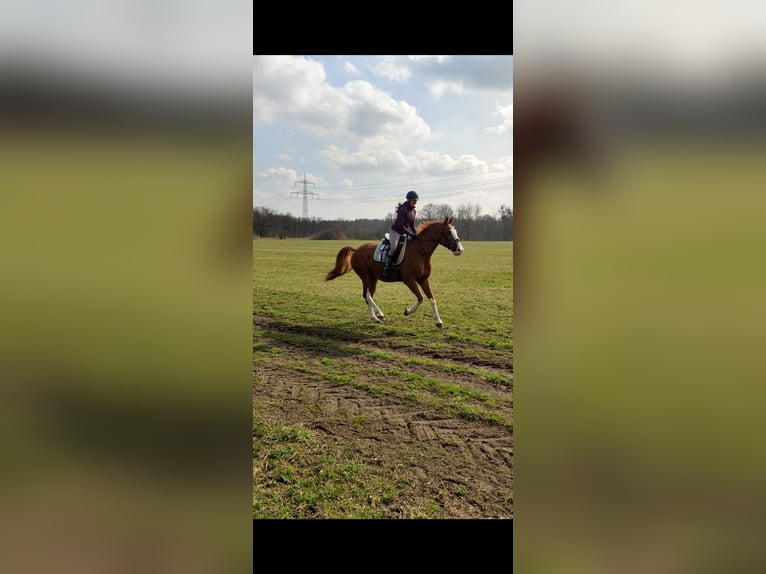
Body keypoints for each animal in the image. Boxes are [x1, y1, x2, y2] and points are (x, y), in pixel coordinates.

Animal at [326, 217, 464, 332]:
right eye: (448, 232)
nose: (460, 250)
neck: (420, 252)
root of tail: (356, 250)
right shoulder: (409, 280)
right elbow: (420, 298)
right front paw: (407, 311)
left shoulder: (424, 280)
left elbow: (432, 299)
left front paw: (439, 322)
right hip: (365, 276)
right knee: (367, 295)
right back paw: (379, 314)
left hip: (373, 278)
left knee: (367, 295)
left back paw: (374, 317)